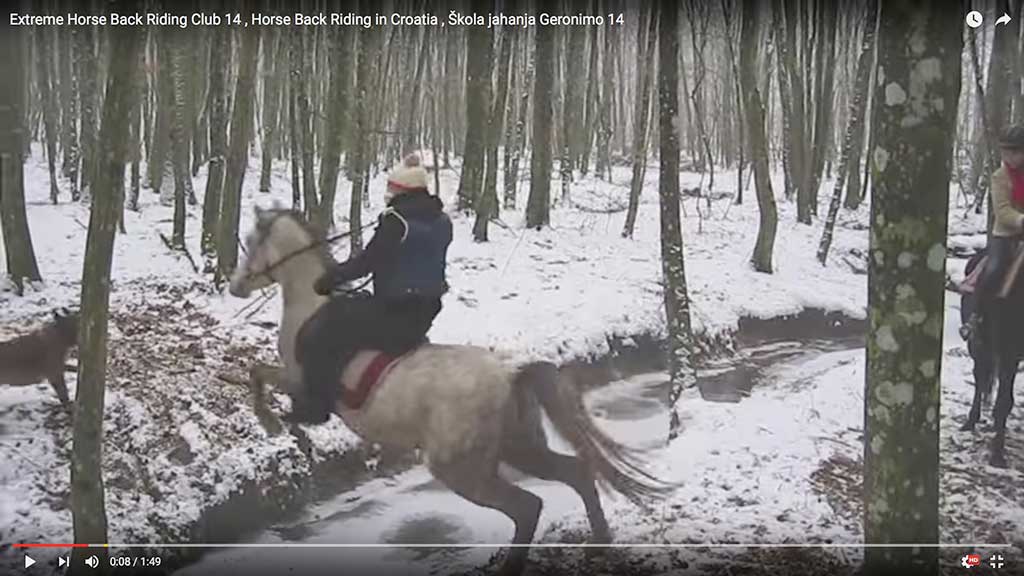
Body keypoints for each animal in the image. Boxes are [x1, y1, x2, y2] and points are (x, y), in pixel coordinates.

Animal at [228, 203, 675, 569]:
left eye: (251, 240)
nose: (235, 286)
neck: (310, 306)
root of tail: (510, 376)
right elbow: (260, 376)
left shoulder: (298, 379)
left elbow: (260, 376)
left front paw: (276, 425)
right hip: (518, 445)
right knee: (577, 473)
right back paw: (601, 544)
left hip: (461, 468)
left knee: (527, 506)